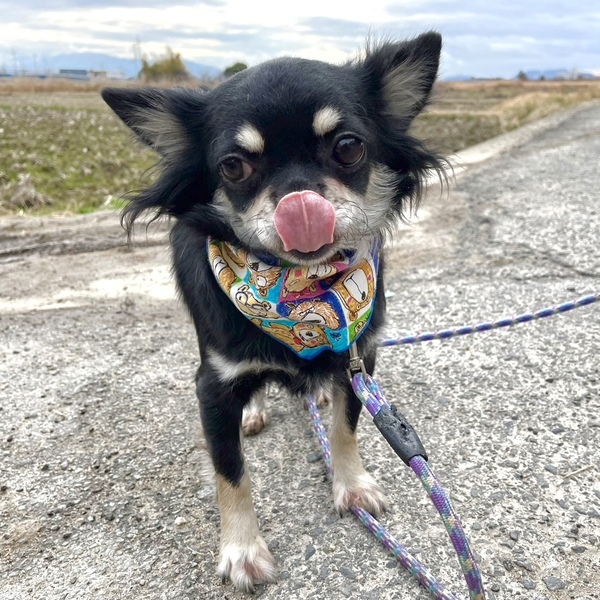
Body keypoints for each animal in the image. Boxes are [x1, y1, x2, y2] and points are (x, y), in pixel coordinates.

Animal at [102, 31, 443, 592]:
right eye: (233, 166)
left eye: (348, 147)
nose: (300, 204)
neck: (300, 292)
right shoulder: (213, 386)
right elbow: (229, 472)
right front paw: (242, 549)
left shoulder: (358, 360)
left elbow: (346, 428)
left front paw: (351, 484)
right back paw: (255, 410)